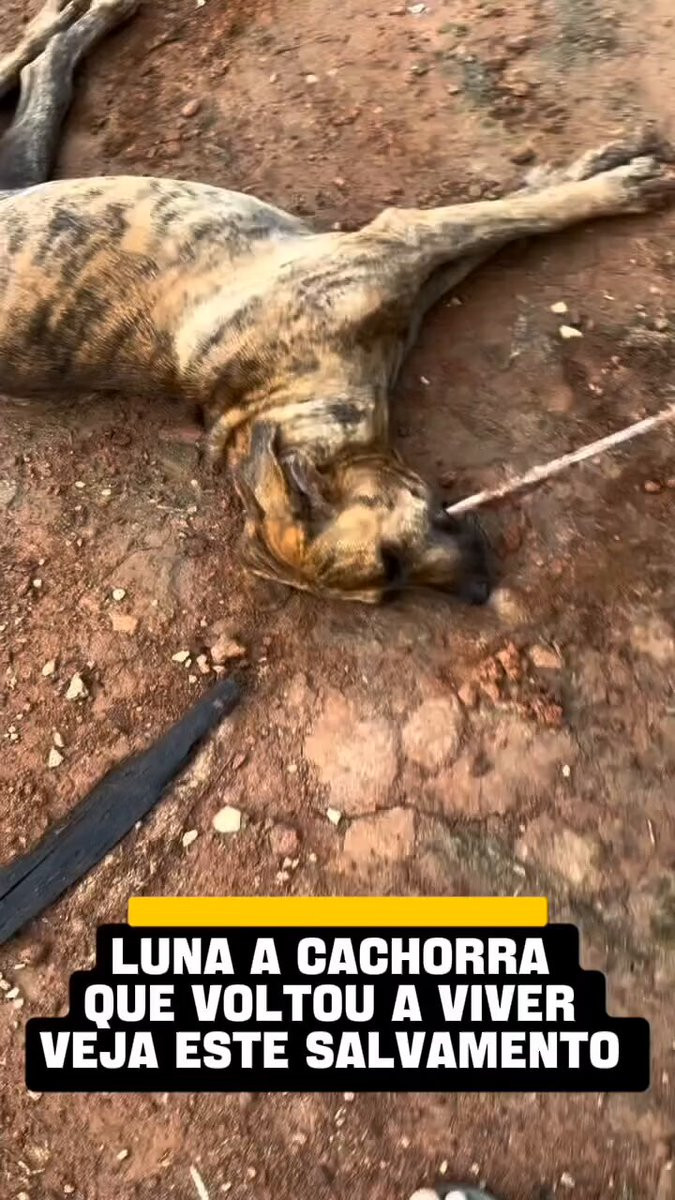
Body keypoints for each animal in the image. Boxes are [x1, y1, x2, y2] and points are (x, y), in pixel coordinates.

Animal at [1, 0, 673, 604]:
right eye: (389, 579)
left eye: (391, 559)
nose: (483, 593)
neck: (282, 399)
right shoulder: (404, 260)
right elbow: (508, 223)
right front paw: (605, 177)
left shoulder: (404, 252)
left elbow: (514, 218)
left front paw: (604, 177)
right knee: (43, 72)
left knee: (34, 64)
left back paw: (81, 14)